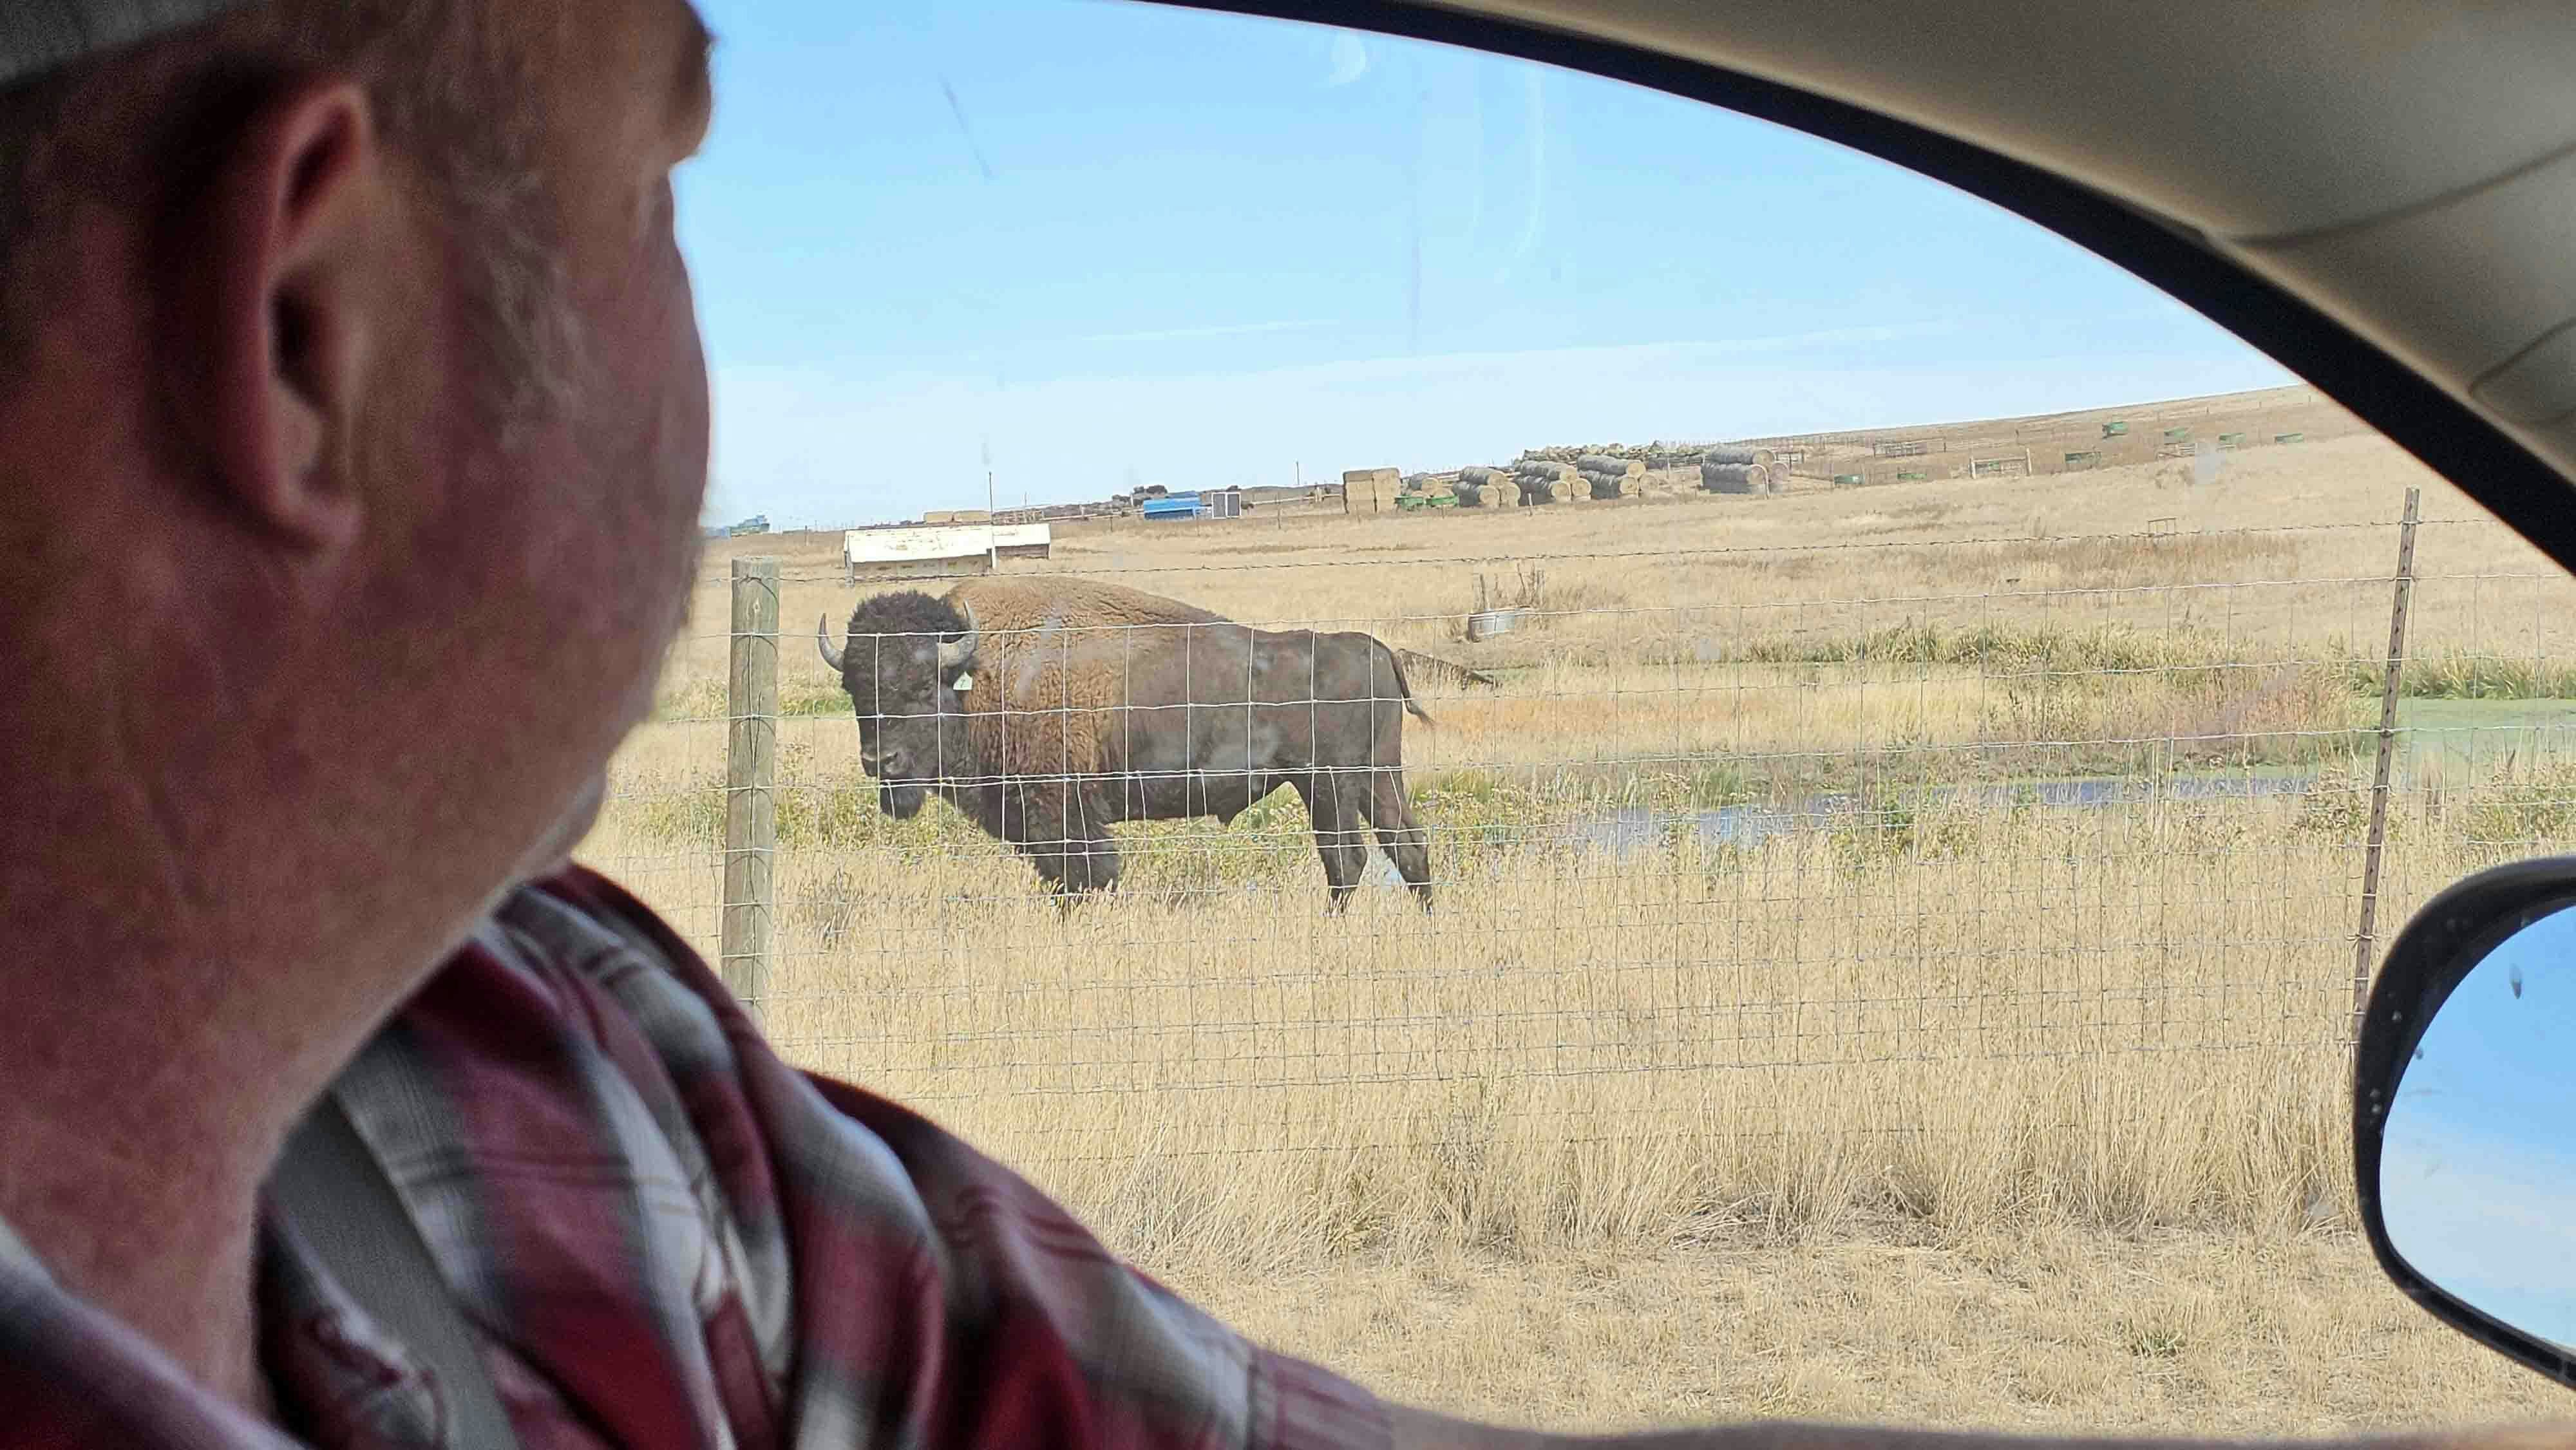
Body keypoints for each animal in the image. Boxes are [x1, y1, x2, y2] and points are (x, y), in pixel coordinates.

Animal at [817, 577, 1433, 909]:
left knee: (1346, 859)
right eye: (855, 687)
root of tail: (1374, 649)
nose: (880, 761)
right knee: (1407, 846)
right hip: (1377, 778)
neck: (981, 672)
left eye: (923, 685)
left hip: (1327, 786)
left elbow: (1083, 879)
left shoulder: (1062, 814)